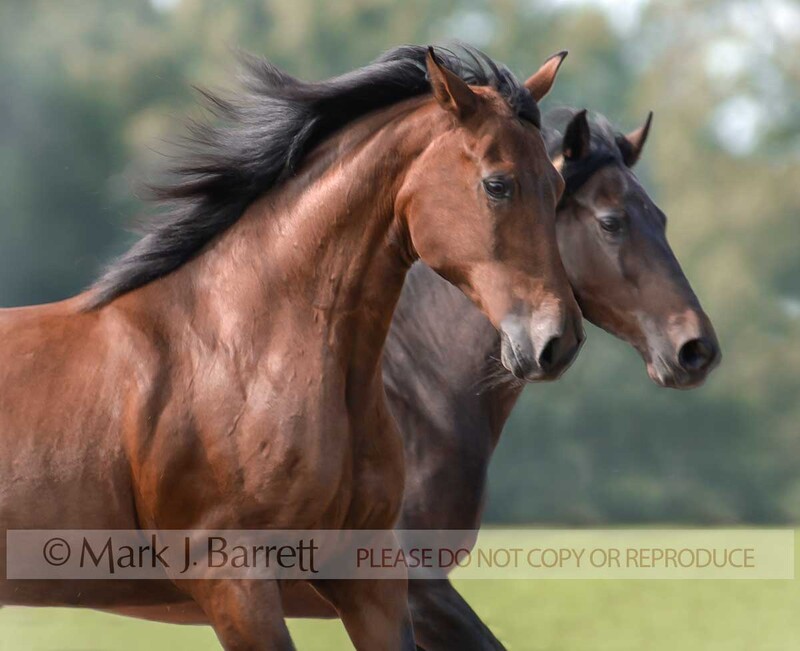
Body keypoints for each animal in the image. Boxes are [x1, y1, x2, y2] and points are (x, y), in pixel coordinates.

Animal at [0, 45, 583, 650]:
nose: (556, 341)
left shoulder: (368, 570)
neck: (247, 353)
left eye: (558, 188)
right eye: (497, 185)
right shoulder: (233, 579)